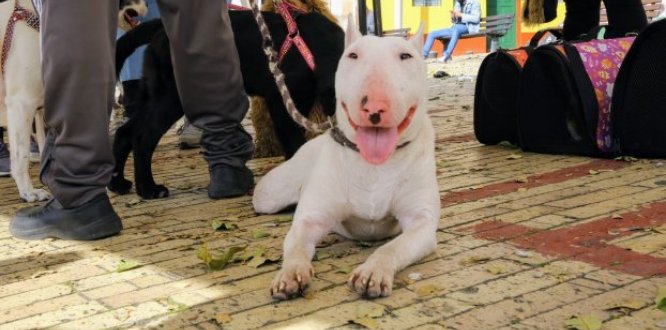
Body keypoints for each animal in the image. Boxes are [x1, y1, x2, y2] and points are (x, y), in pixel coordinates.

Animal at [108, 10, 342, 200]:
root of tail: (160, 27)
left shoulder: (301, 102)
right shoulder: (280, 101)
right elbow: (295, 144)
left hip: (155, 95)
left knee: (125, 132)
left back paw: (118, 183)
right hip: (171, 98)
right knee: (142, 137)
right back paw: (148, 189)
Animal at [252, 20, 438, 300]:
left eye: (406, 56)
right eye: (353, 55)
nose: (374, 105)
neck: (374, 165)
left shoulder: (422, 223)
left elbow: (392, 248)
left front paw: (373, 272)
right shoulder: (310, 220)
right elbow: (296, 247)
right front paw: (290, 274)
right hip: (268, 196)